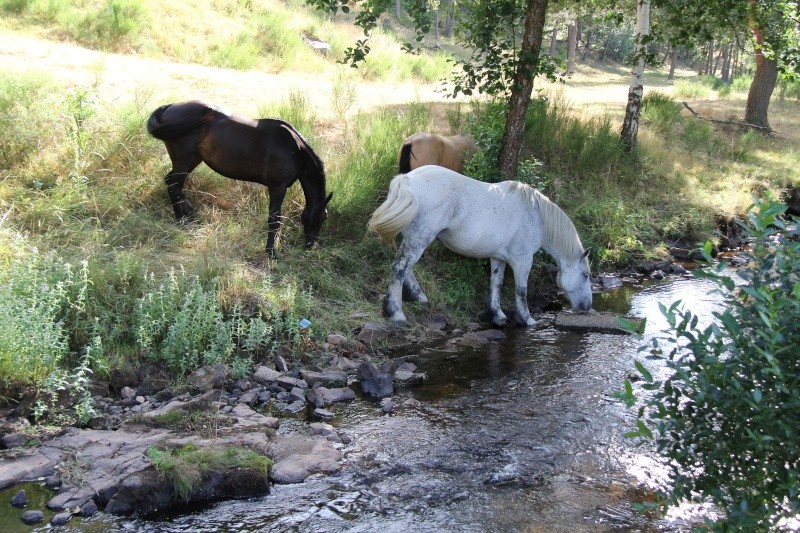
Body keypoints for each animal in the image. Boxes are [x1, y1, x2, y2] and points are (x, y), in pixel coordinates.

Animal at [147, 101, 332, 258]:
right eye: (322, 217)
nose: (310, 245)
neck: (294, 149)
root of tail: (169, 107)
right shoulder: (278, 187)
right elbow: (274, 219)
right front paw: (271, 252)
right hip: (184, 160)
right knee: (174, 186)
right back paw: (183, 218)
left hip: (192, 160)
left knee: (173, 185)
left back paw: (187, 216)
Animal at [366, 164, 592, 326]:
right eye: (586, 275)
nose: (587, 306)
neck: (535, 214)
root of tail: (408, 179)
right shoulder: (523, 261)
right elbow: (521, 290)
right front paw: (527, 320)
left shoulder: (498, 258)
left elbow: (496, 283)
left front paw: (496, 315)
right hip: (420, 239)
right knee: (400, 268)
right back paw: (396, 313)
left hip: (413, 239)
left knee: (406, 268)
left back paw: (418, 297)